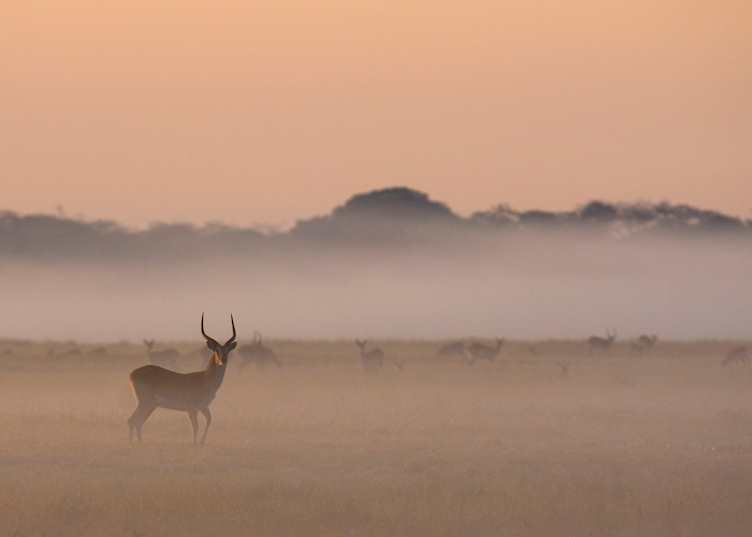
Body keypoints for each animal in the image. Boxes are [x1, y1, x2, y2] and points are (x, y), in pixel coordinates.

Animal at [128, 314, 237, 445]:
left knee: (136, 421)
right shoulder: (192, 409)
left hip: (151, 405)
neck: (205, 379)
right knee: (133, 420)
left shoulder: (203, 407)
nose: (223, 360)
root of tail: (132, 373)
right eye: (216, 350)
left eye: (228, 350)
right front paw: (195, 444)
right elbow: (196, 427)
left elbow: (209, 420)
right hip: (146, 402)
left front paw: (201, 443)